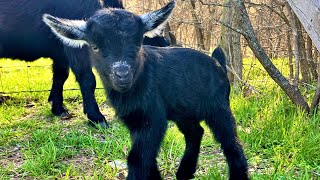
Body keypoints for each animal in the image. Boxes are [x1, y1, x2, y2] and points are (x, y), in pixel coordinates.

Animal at [0, 0, 170, 128]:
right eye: (95, 47)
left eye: (138, 44)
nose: (123, 76)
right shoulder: (76, 48)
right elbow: (87, 79)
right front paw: (96, 117)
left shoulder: (60, 51)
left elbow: (60, 76)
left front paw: (58, 108)